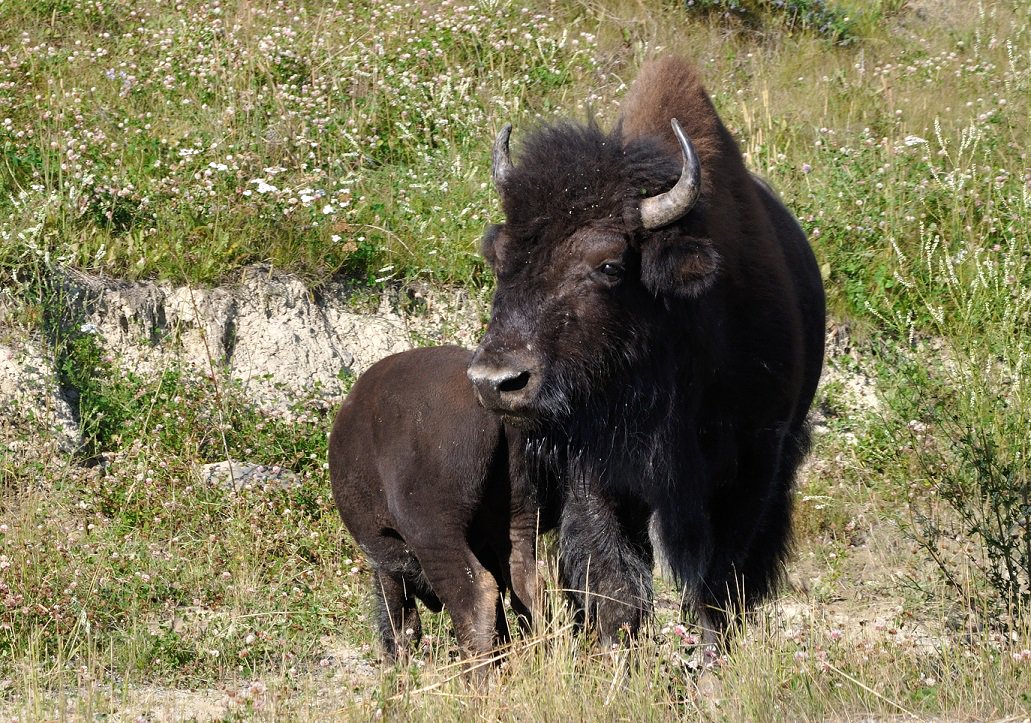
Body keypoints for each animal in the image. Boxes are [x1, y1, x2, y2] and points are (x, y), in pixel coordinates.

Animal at [327, 344, 548, 660]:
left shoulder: (388, 556)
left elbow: (399, 619)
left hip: (435, 534)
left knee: (474, 595)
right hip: (518, 517)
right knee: (526, 583)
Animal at [472, 54, 824, 643]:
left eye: (610, 264)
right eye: (500, 257)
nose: (497, 381)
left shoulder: (755, 456)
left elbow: (717, 576)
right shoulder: (597, 467)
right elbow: (613, 572)